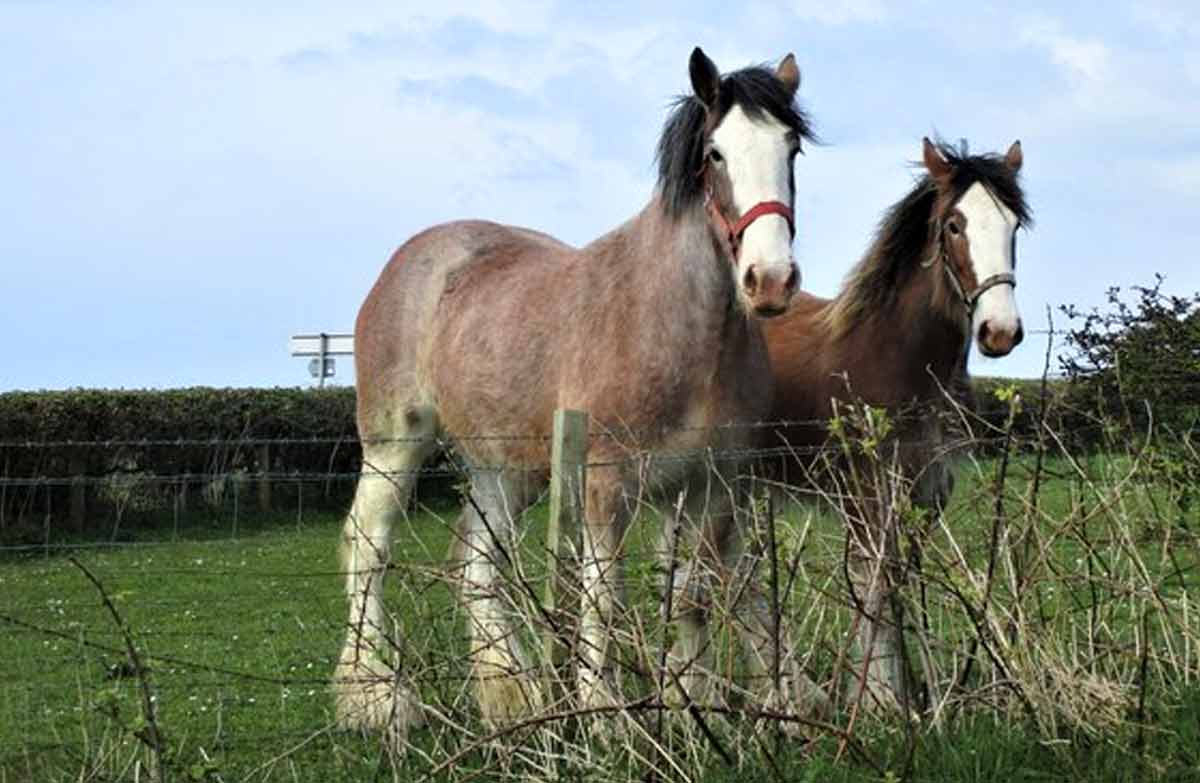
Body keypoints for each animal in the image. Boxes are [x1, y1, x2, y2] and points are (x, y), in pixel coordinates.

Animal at [336, 48, 823, 739]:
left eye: (792, 148)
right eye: (715, 154)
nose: (771, 280)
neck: (673, 326)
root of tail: (412, 259)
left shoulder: (714, 485)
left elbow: (705, 589)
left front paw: (708, 704)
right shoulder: (605, 484)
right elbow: (605, 592)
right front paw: (607, 713)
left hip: (507, 467)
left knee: (476, 562)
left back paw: (515, 694)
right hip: (395, 444)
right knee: (369, 545)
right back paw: (377, 696)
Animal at [761, 137, 1030, 711]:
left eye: (1014, 224)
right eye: (953, 226)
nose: (1000, 331)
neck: (893, 356)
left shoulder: (926, 491)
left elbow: (902, 582)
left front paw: (910, 693)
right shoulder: (867, 494)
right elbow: (876, 583)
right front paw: (881, 699)